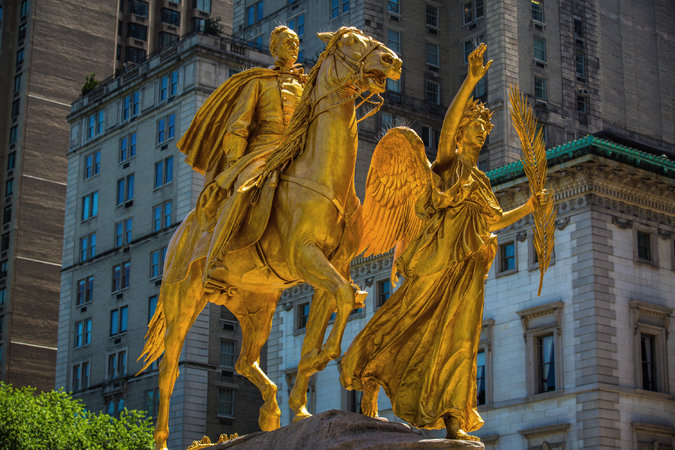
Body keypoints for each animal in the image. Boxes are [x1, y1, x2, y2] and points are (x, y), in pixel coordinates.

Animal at [138, 26, 402, 448]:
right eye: (350, 41)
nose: (392, 61)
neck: (321, 173)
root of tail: (181, 230)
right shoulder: (305, 257)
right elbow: (344, 301)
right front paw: (325, 361)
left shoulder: (333, 267)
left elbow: (334, 309)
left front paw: (302, 404)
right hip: (183, 302)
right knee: (168, 371)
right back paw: (162, 439)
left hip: (257, 305)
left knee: (244, 361)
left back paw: (272, 411)